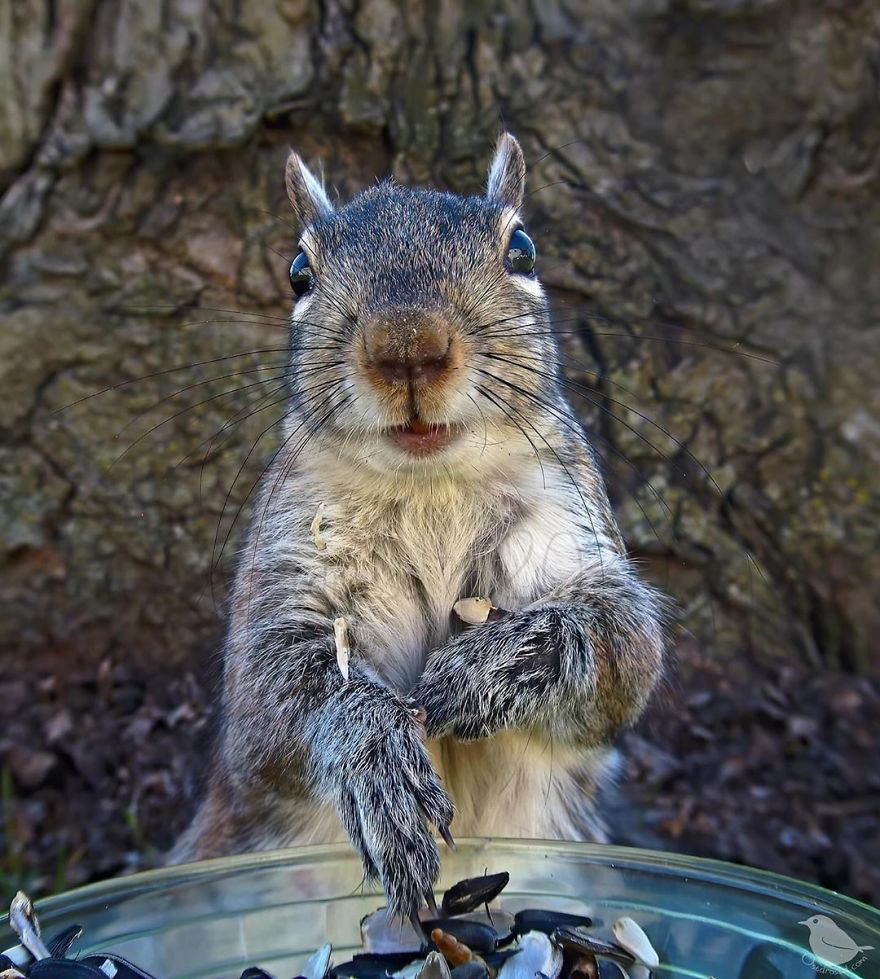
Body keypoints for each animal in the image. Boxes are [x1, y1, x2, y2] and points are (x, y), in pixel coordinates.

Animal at [170, 134, 668, 924]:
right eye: (299, 272)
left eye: (523, 250)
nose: (406, 343)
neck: (430, 484)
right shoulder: (280, 583)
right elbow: (277, 697)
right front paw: (378, 762)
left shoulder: (573, 532)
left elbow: (619, 647)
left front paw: (488, 669)